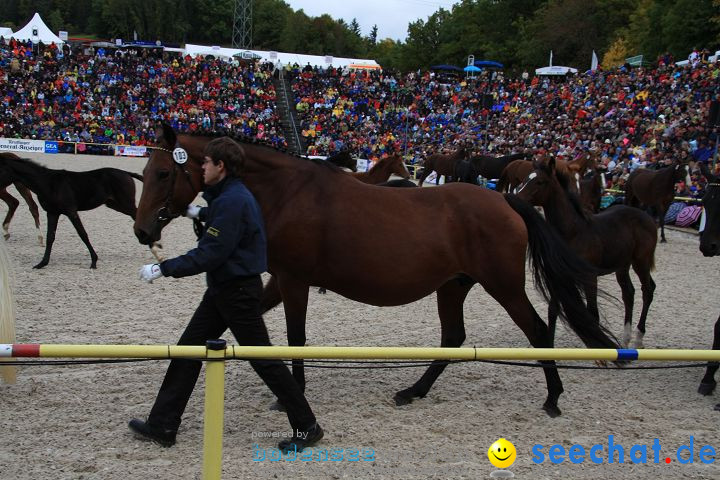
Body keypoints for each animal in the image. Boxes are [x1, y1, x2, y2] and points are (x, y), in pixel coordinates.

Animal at [136, 126, 624, 416]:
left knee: (538, 331)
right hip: (453, 287)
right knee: (454, 338)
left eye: (162, 173)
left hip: (503, 286)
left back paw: (553, 396)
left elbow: (296, 336)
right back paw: (414, 390)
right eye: (145, 171)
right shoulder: (278, 280)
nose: (143, 230)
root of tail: (504, 198)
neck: (287, 192)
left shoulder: (295, 280)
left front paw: (293, 392)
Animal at [516, 158, 660, 348]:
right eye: (526, 178)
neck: (573, 232)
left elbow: (593, 314)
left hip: (641, 261)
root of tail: (646, 216)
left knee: (648, 290)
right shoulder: (559, 276)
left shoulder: (589, 277)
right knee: (628, 293)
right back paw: (625, 338)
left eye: (540, 182)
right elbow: (553, 310)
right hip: (622, 265)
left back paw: (638, 338)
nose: (517, 199)